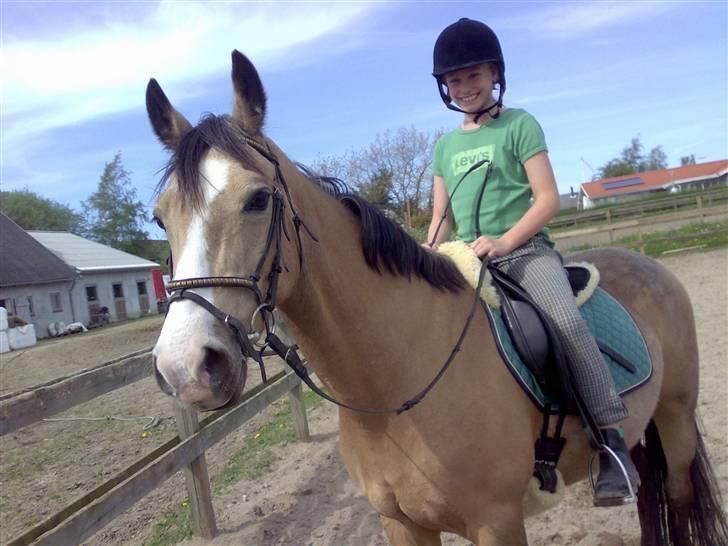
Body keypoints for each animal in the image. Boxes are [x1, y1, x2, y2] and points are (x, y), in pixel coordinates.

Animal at [149, 51, 728, 544]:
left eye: (258, 199)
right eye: (159, 216)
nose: (185, 367)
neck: (396, 385)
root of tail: (649, 264)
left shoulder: (498, 523)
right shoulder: (402, 524)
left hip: (675, 420)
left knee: (676, 496)